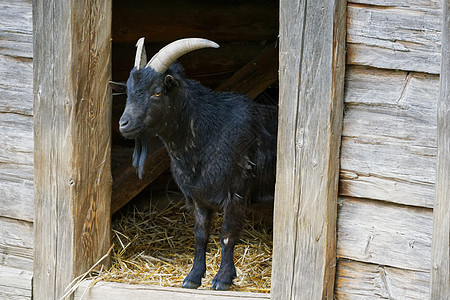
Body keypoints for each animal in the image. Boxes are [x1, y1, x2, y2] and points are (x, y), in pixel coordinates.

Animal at [118, 38, 278, 290]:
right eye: (128, 90)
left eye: (157, 91)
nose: (124, 123)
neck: (209, 132)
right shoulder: (198, 197)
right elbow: (201, 235)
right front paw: (192, 277)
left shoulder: (236, 193)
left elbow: (227, 235)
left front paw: (222, 279)